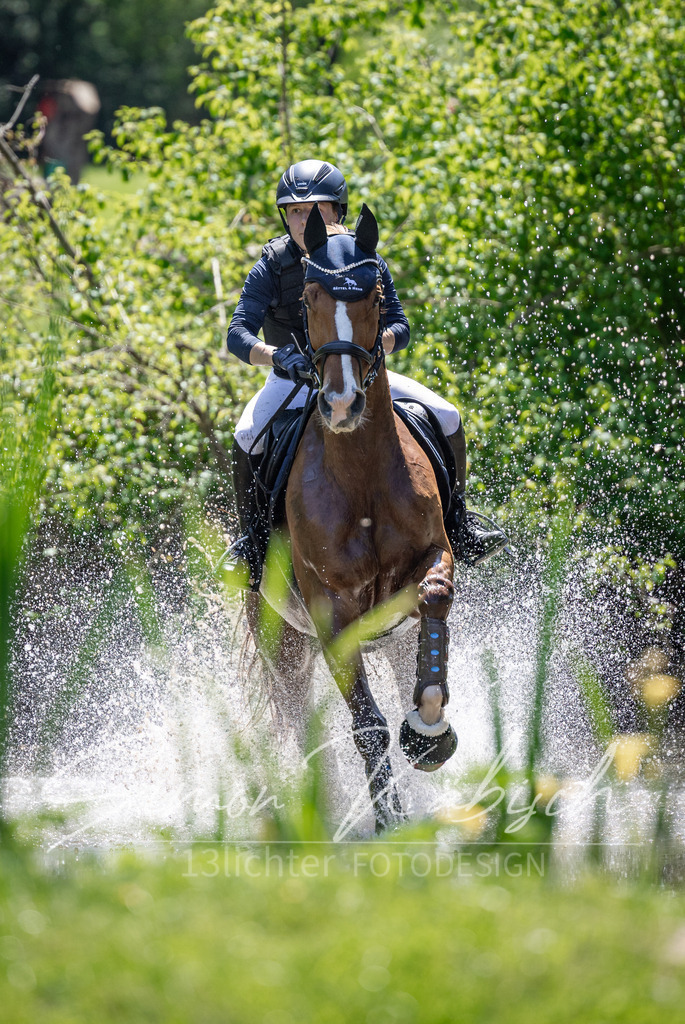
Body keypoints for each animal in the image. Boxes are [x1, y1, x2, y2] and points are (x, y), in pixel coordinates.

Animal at [245, 204, 458, 831]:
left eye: (374, 296)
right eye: (311, 296)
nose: (341, 405)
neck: (360, 475)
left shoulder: (432, 557)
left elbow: (435, 596)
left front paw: (429, 732)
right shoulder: (331, 612)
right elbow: (366, 725)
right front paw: (389, 822)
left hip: (388, 635)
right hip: (282, 642)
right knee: (294, 717)